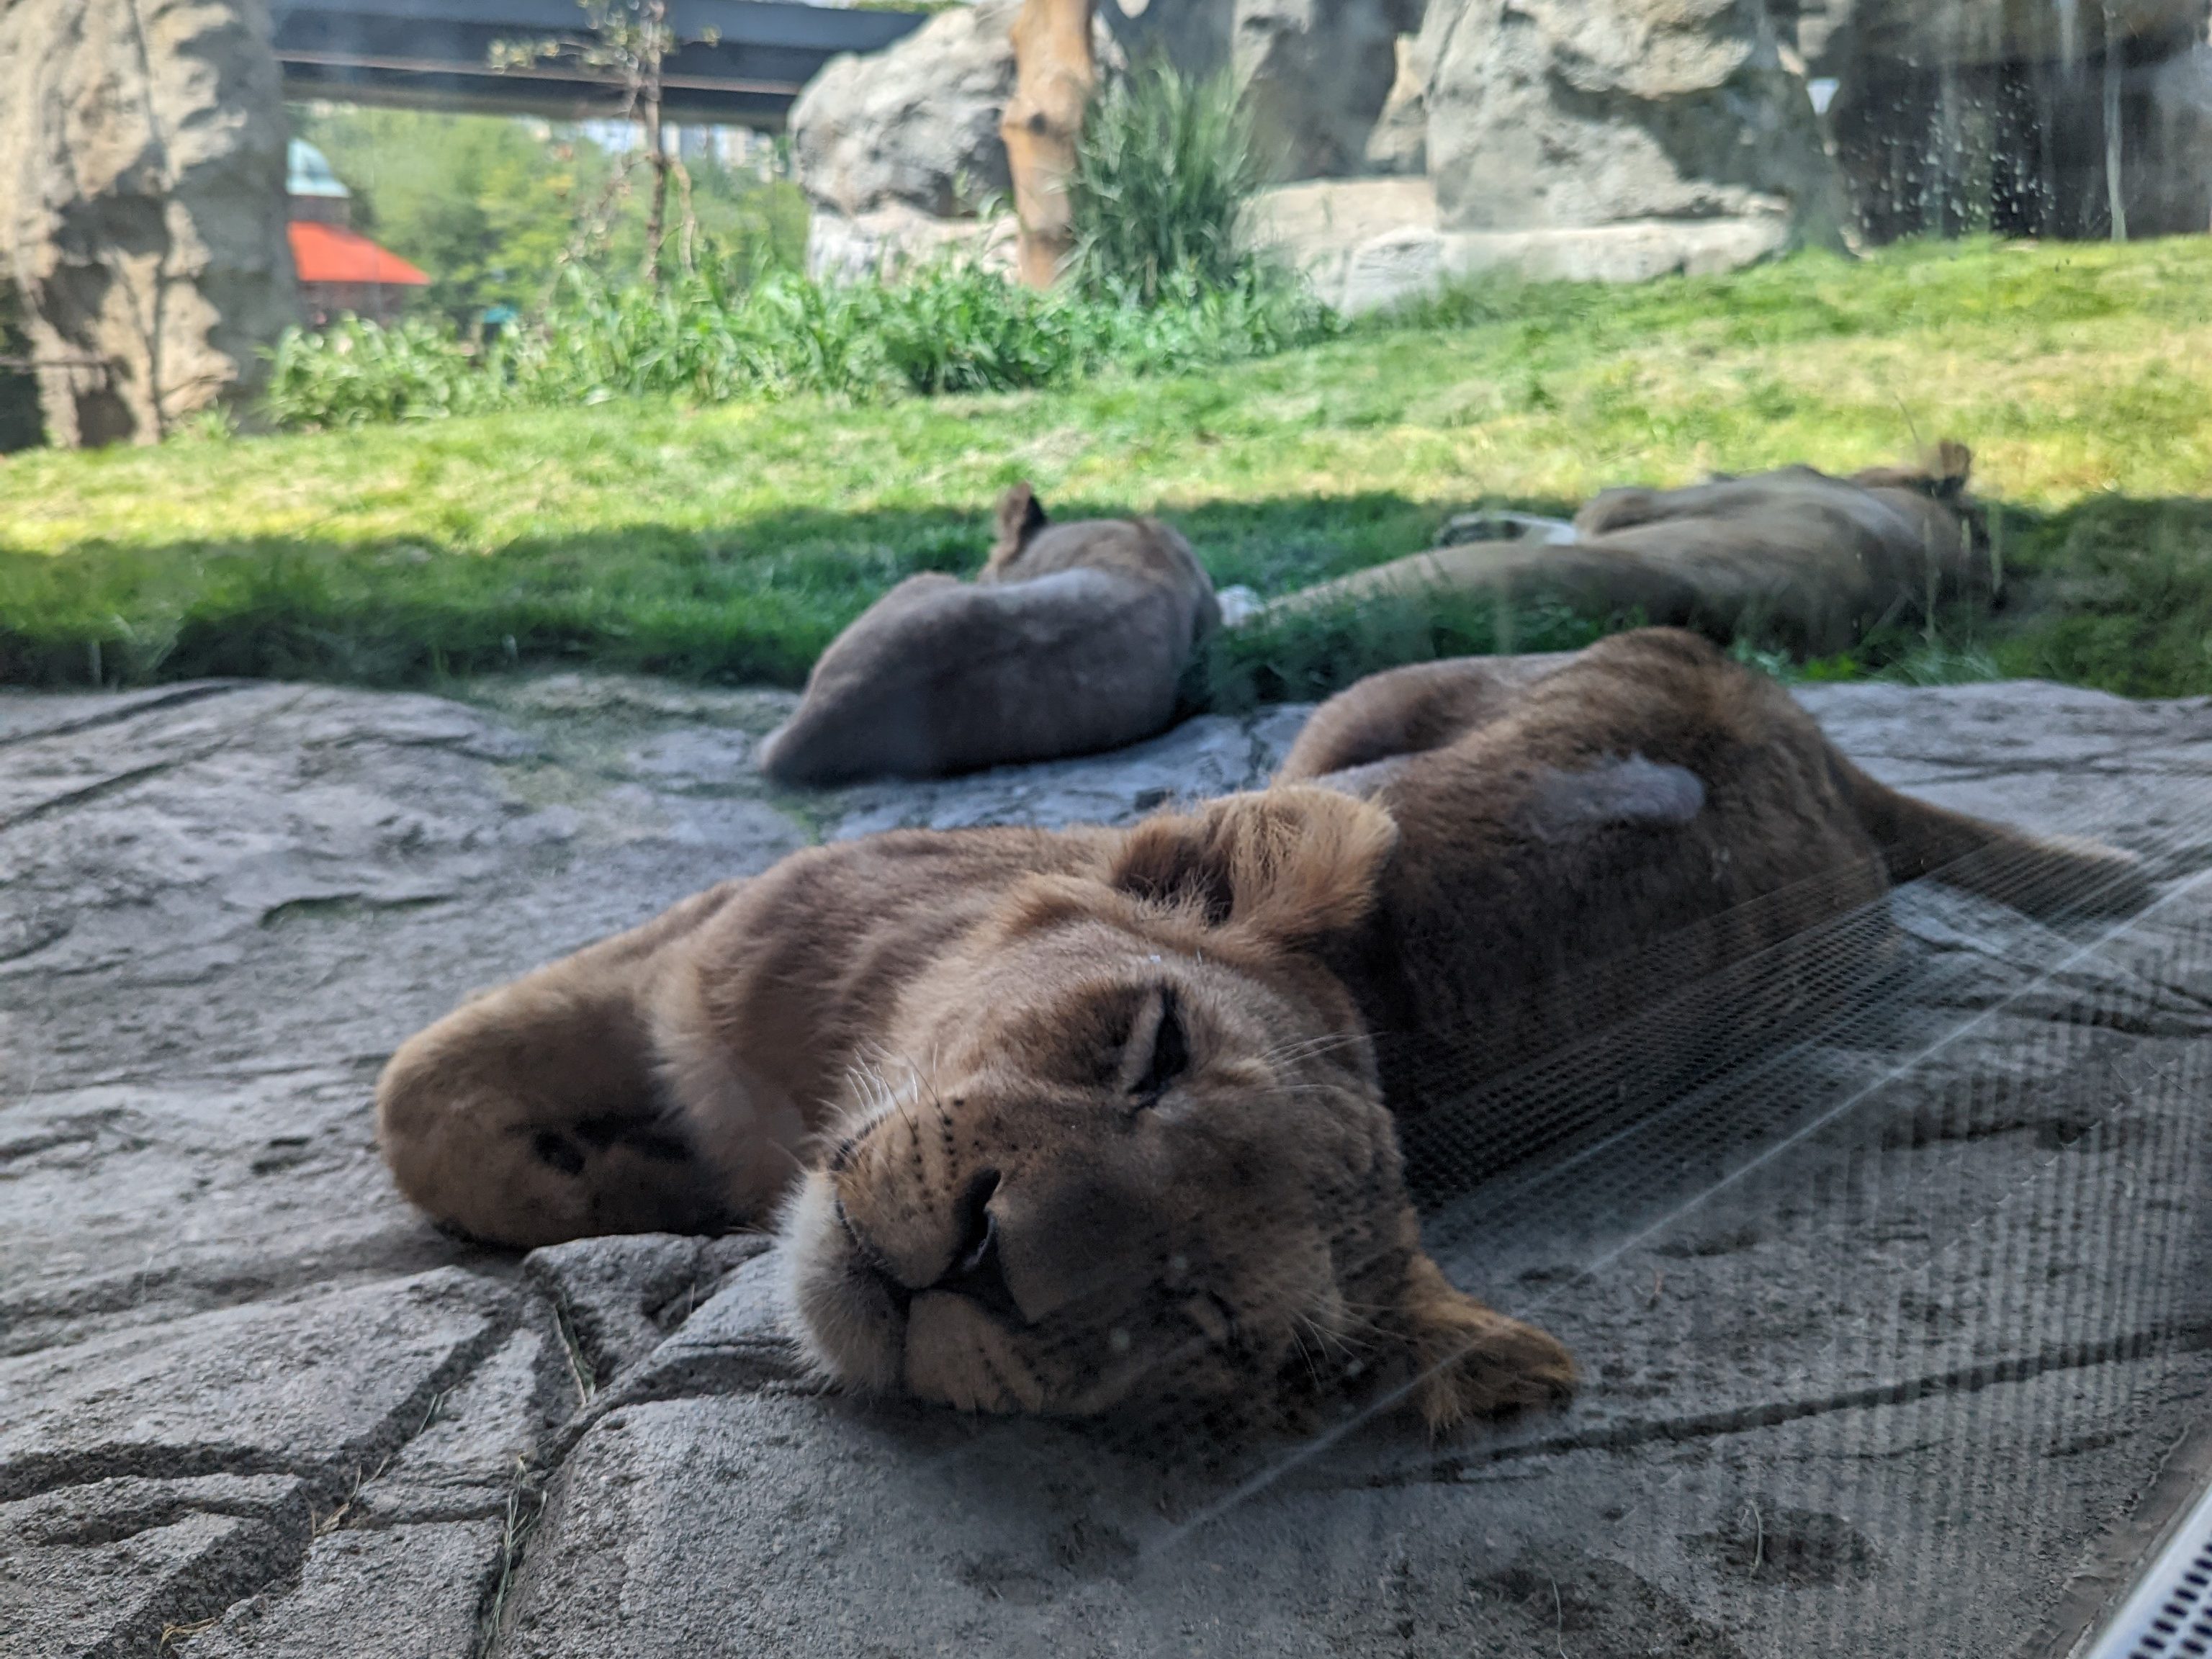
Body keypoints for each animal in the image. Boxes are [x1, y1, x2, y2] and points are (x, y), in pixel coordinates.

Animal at [377, 629, 2146, 1433]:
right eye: (1147, 1047)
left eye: (1195, 1315)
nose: (975, 1257)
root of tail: (1805, 727)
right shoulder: (705, 936)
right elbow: (424, 1094)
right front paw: (618, 1170)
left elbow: (427, 1111)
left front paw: (629, 1180)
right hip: (1363, 709)